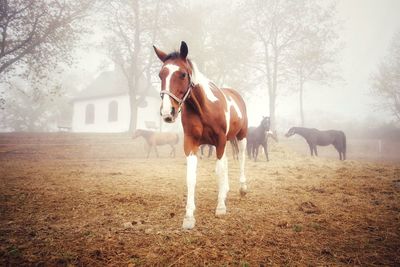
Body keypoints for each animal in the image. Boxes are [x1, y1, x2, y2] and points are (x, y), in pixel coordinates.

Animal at [153, 41, 247, 230]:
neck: (204, 108)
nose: (167, 112)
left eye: (182, 74)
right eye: (161, 75)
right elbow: (191, 177)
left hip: (241, 137)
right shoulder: (191, 143)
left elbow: (219, 171)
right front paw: (189, 216)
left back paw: (242, 188)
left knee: (241, 158)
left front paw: (220, 207)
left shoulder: (220, 141)